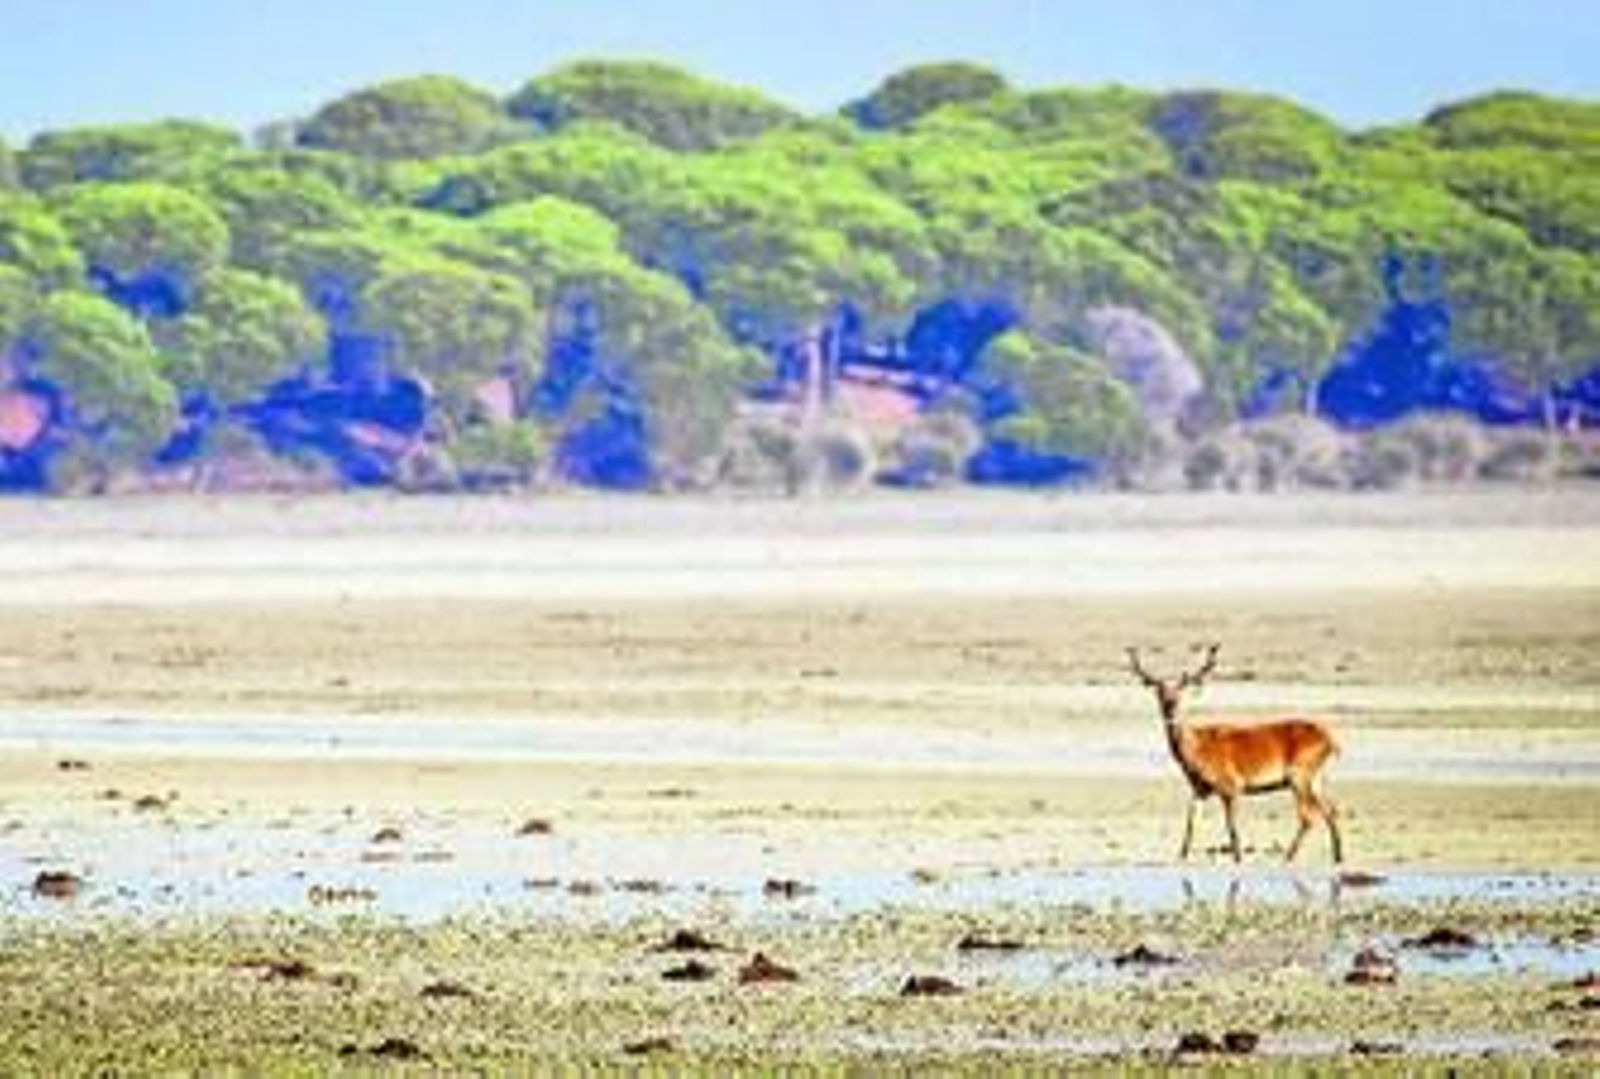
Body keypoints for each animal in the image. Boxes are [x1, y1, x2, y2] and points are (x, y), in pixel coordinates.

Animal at [1127, 643, 1344, 865]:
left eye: (1180, 693)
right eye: (1159, 693)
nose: (1170, 708)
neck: (1197, 752)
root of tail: (1331, 741)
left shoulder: (1231, 785)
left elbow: (1231, 827)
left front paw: (1238, 858)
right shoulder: (1199, 789)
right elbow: (1191, 823)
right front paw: (1182, 856)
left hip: (1299, 774)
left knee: (1307, 816)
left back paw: (1287, 857)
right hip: (1315, 778)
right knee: (1331, 810)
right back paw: (1338, 857)